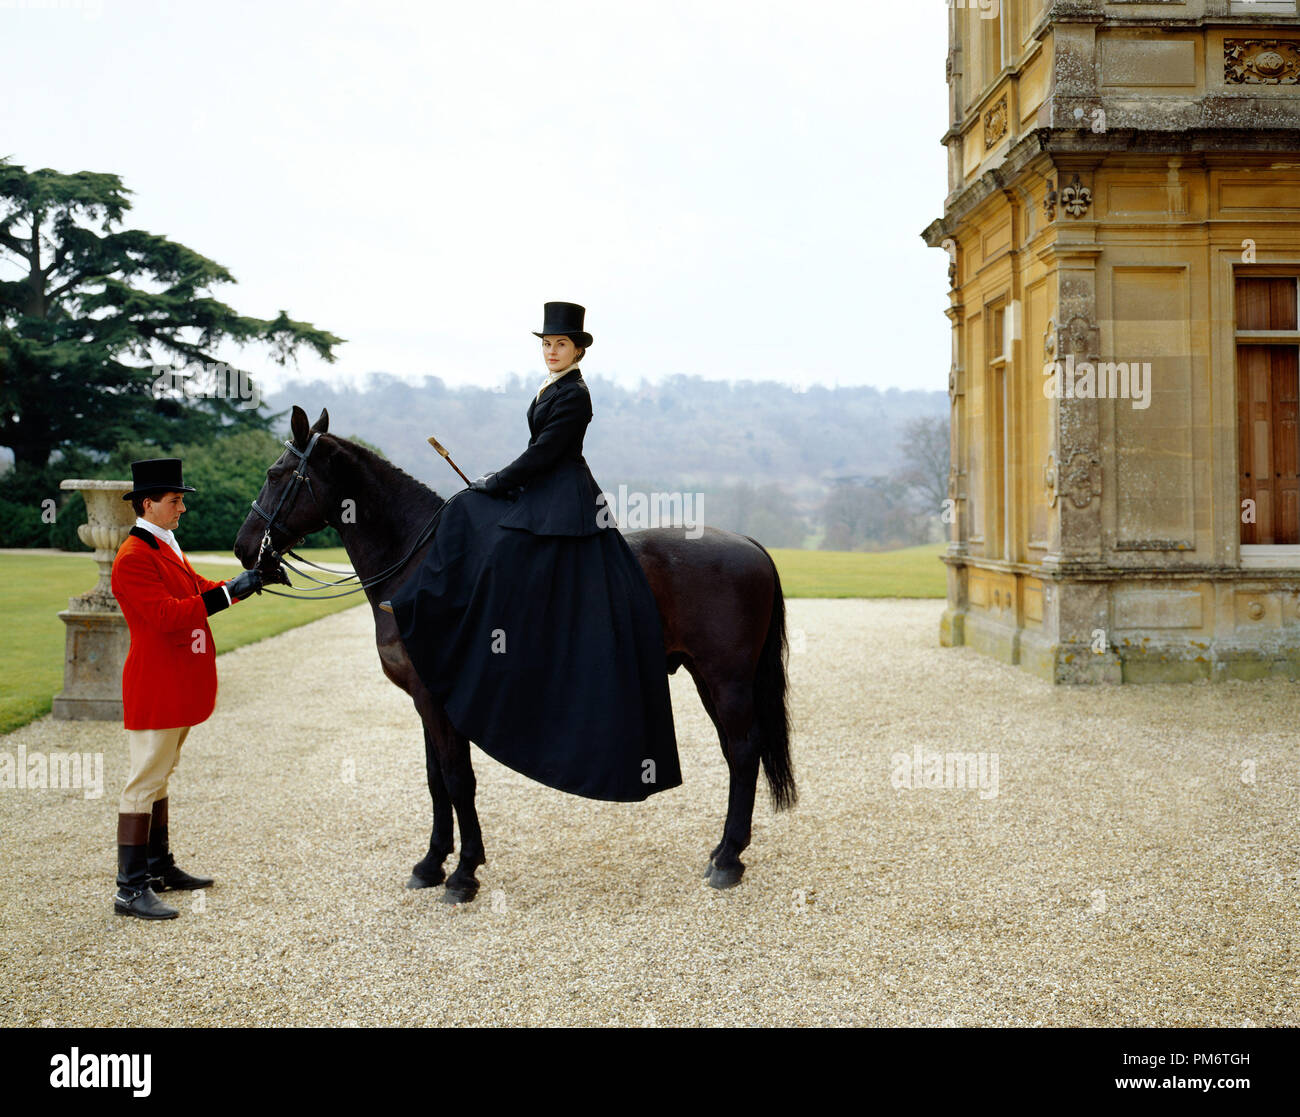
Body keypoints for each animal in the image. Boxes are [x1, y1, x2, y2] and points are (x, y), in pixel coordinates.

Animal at [237, 405, 795, 905]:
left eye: (275, 474)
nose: (245, 548)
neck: (417, 567)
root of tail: (748, 543)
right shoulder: (424, 699)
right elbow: (436, 780)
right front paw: (431, 864)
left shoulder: (438, 701)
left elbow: (459, 780)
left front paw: (464, 874)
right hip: (708, 678)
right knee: (736, 753)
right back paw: (723, 851)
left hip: (727, 680)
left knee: (743, 751)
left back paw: (729, 861)